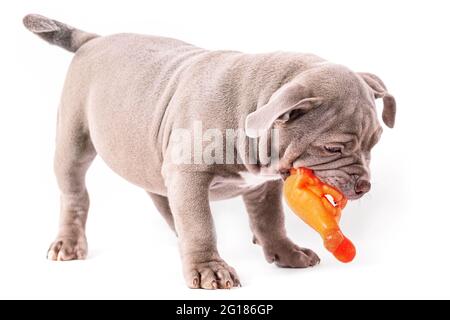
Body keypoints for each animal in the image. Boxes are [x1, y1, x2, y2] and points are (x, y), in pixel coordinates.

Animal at [25, 15, 398, 290]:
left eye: (375, 142)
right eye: (332, 147)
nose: (365, 186)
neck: (254, 101)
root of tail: (92, 40)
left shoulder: (261, 186)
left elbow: (270, 220)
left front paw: (285, 252)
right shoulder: (188, 174)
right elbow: (201, 223)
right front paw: (209, 269)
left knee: (158, 192)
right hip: (73, 140)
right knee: (75, 194)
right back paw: (69, 243)